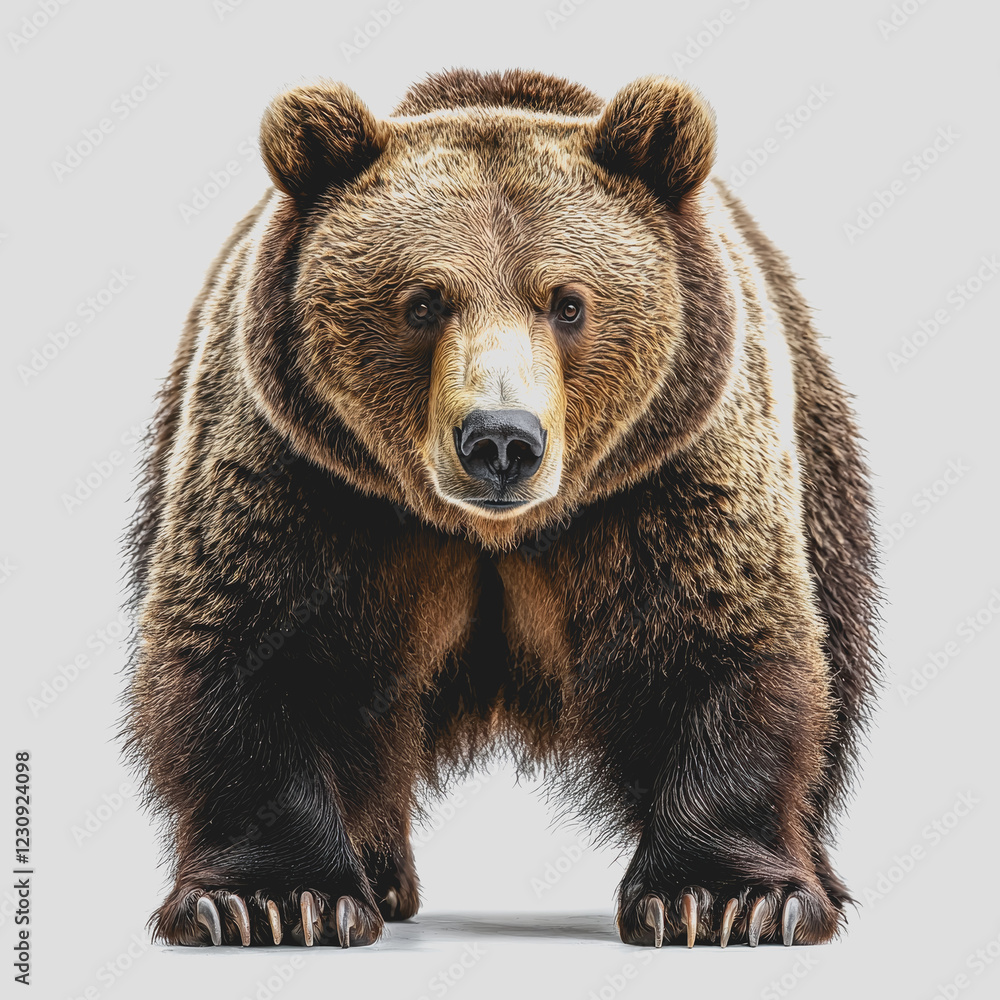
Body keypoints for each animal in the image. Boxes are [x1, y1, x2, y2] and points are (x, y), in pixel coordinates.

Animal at [123, 67, 880, 950]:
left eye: (568, 302)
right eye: (422, 302)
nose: (500, 439)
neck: (488, 532)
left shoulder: (667, 478)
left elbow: (716, 647)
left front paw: (726, 898)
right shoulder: (308, 478)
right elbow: (254, 650)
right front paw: (273, 900)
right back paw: (378, 874)